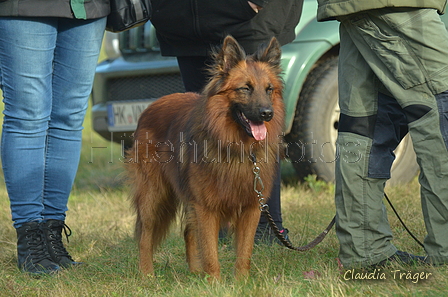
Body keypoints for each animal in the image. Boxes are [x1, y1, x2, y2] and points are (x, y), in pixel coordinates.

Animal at [126, 35, 286, 278]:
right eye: (245, 88)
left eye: (269, 89)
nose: (267, 113)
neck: (237, 147)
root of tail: (150, 107)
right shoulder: (207, 208)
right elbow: (210, 252)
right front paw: (214, 282)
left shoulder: (250, 208)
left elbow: (244, 252)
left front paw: (241, 281)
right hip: (153, 196)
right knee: (146, 236)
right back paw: (147, 275)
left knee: (188, 232)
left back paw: (194, 273)